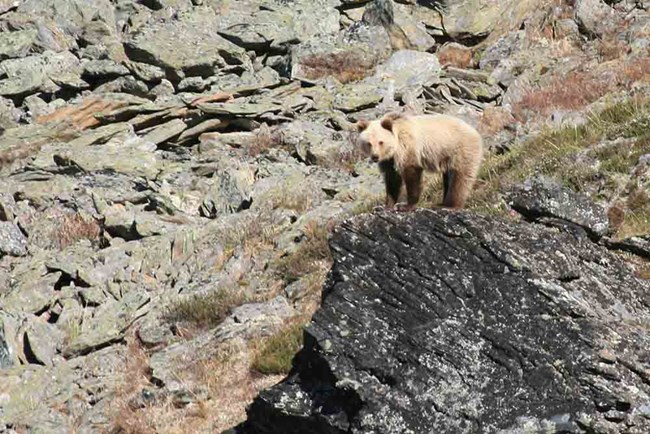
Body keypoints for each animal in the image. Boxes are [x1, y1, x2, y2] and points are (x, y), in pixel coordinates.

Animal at [356, 112, 484, 211]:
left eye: (380, 142)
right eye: (368, 143)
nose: (375, 156)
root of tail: (475, 132)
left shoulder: (408, 147)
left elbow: (411, 174)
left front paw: (406, 206)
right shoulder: (389, 161)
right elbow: (392, 179)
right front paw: (386, 206)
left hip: (460, 150)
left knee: (460, 177)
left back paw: (451, 206)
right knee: (449, 177)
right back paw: (442, 203)